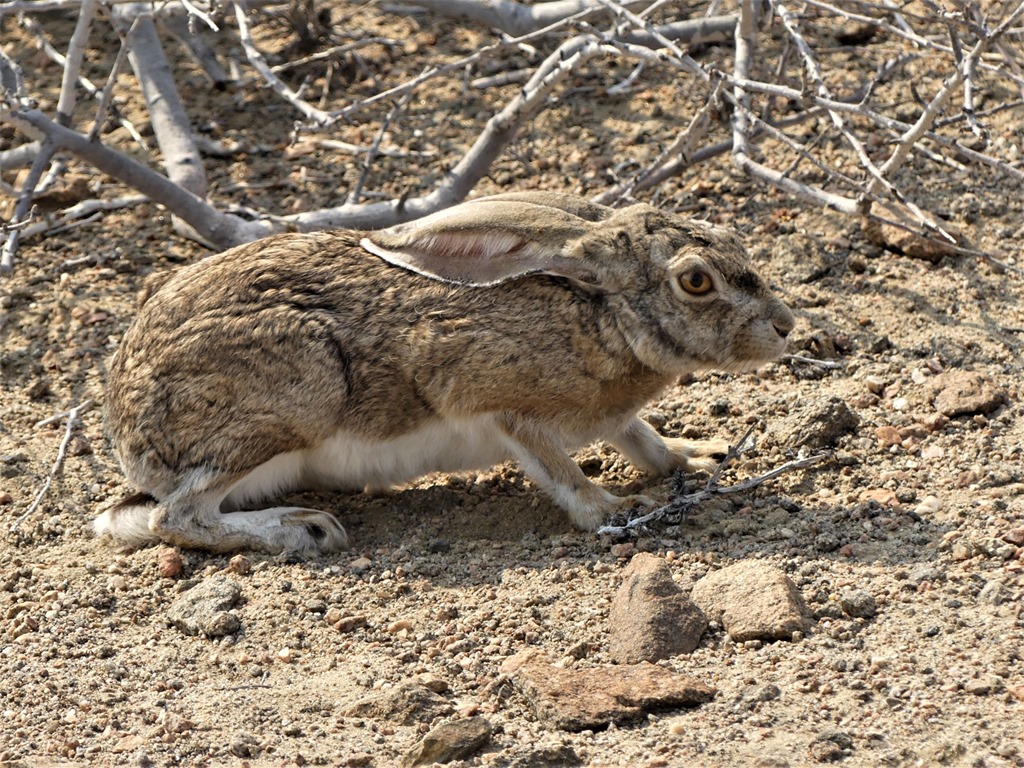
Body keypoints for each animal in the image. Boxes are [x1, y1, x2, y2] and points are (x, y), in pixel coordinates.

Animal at [94, 191, 795, 554]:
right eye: (696, 281)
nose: (786, 326)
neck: (602, 314)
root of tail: (129, 440)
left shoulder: (613, 416)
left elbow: (642, 438)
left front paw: (699, 454)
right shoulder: (498, 401)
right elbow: (561, 473)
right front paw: (618, 506)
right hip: (291, 400)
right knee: (174, 518)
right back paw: (303, 528)